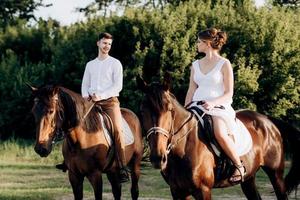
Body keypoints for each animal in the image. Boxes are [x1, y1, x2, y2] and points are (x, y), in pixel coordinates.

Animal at [137, 76, 298, 199]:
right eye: (142, 110)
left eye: (170, 110)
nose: (158, 158)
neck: (182, 150)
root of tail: (267, 120)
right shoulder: (177, 191)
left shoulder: (203, 190)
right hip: (249, 178)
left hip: (276, 174)